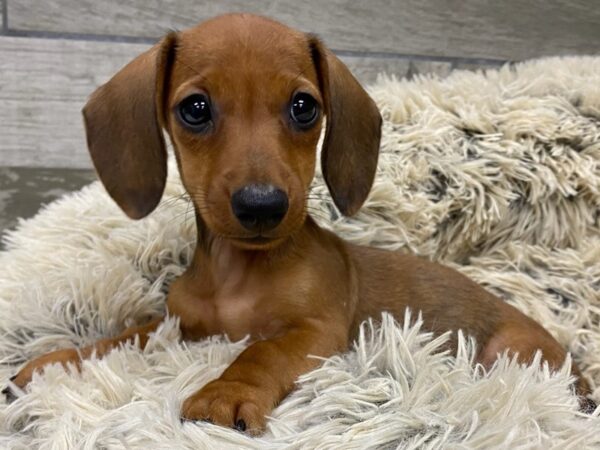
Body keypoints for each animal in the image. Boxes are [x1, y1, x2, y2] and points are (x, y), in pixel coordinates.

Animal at [5, 13, 596, 436]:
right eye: (195, 108)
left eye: (304, 106)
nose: (262, 206)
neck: (238, 274)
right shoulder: (182, 325)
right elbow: (123, 338)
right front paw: (57, 361)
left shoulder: (314, 331)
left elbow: (258, 351)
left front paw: (225, 392)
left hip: (511, 352)